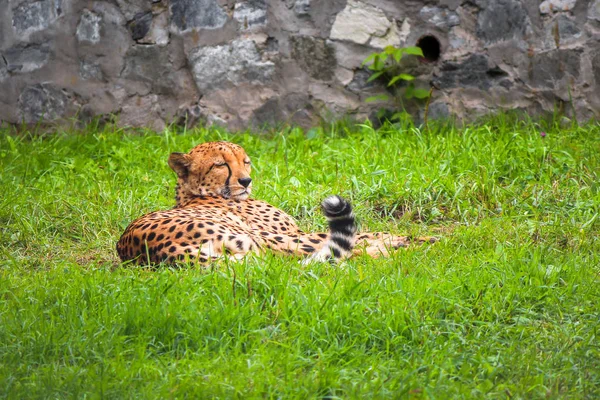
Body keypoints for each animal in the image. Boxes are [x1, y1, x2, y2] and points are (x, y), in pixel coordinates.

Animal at [117, 141, 436, 266]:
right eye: (221, 164)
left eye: (245, 161)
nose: (246, 181)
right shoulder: (293, 232)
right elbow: (366, 232)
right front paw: (411, 238)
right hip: (265, 238)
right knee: (346, 252)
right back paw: (403, 247)